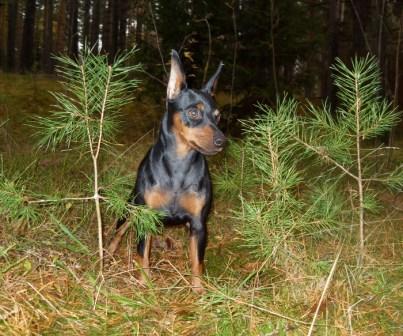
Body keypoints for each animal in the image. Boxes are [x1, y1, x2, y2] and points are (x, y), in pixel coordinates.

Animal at [107, 48, 227, 292]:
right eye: (193, 113)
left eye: (218, 116)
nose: (222, 141)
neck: (178, 166)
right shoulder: (144, 217)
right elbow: (143, 254)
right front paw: (145, 285)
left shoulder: (198, 225)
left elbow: (197, 261)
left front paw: (198, 290)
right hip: (131, 209)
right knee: (118, 232)